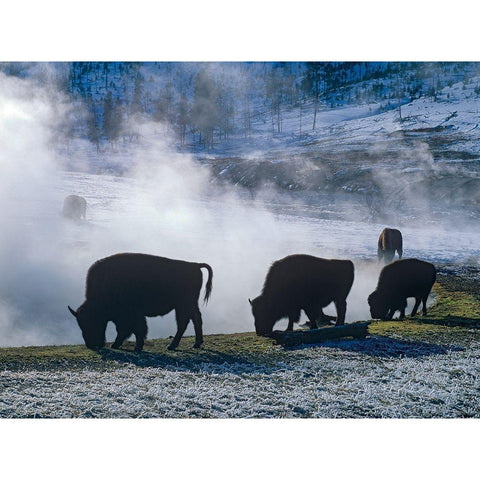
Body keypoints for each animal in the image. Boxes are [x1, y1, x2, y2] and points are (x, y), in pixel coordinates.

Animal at [67, 253, 212, 350]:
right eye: (80, 324)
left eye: (92, 321)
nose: (91, 345)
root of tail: (194, 265)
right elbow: (134, 329)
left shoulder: (130, 315)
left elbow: (132, 329)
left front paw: (129, 346)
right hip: (188, 305)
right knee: (195, 319)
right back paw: (196, 344)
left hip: (184, 305)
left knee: (183, 323)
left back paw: (172, 346)